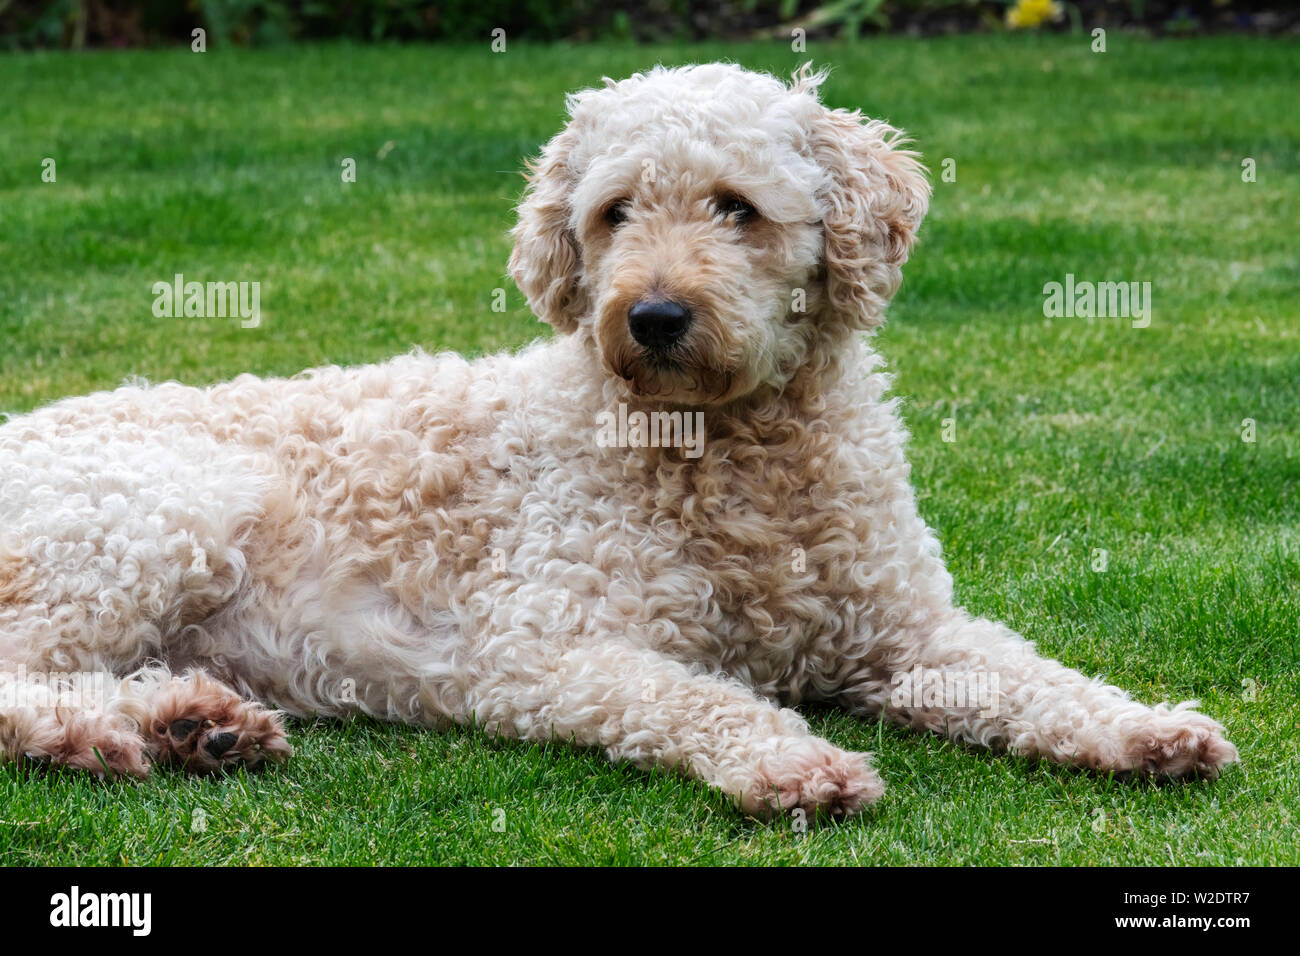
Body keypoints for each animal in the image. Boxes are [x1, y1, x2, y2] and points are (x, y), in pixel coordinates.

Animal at [0, 63, 1237, 811]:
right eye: (614, 211)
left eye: (736, 206)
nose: (652, 314)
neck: (734, 453)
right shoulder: (542, 647)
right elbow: (693, 696)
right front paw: (790, 755)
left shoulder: (905, 633)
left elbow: (1029, 675)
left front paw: (1145, 728)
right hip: (160, 513)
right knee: (22, 679)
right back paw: (133, 730)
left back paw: (189, 720)